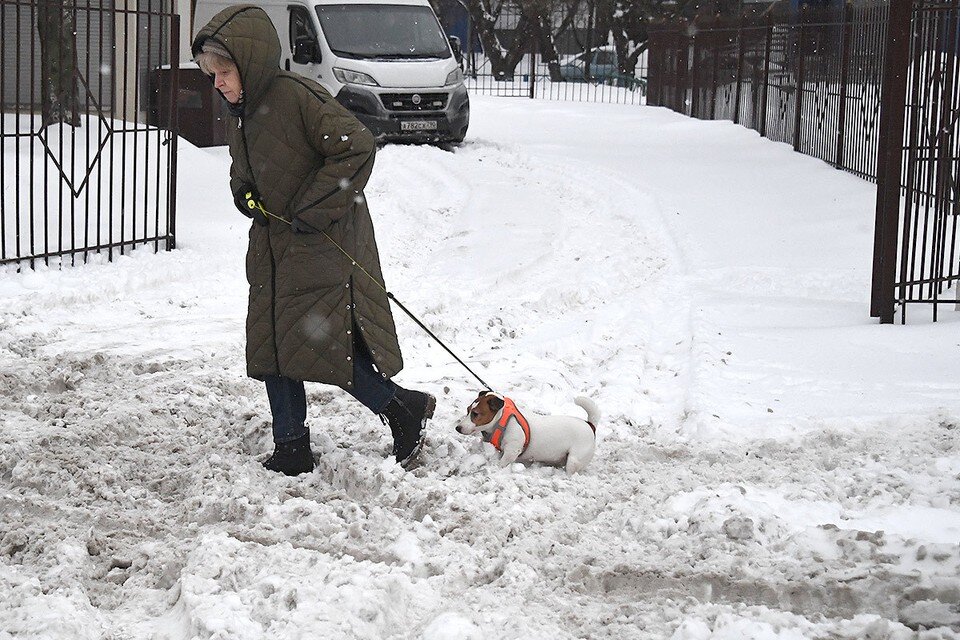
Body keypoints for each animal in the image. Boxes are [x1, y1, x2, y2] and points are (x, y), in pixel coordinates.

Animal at [458, 390, 600, 476]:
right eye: (468, 410)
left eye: (475, 414)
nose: (458, 428)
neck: (502, 419)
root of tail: (590, 425)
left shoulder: (511, 451)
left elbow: (503, 463)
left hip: (574, 460)